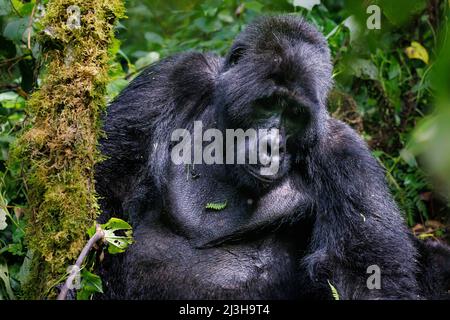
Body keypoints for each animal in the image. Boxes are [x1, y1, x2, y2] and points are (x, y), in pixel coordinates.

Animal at [96, 15, 450, 300]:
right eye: (267, 103)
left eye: (295, 115)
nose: (272, 146)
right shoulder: (174, 77)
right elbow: (107, 185)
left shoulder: (345, 156)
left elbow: (365, 274)